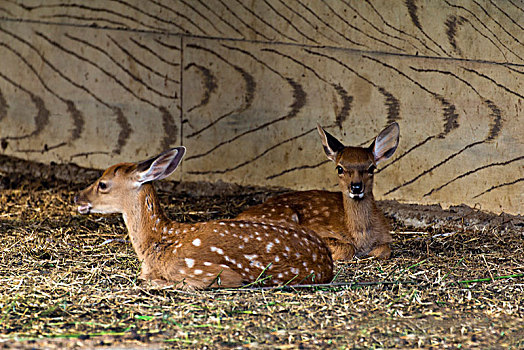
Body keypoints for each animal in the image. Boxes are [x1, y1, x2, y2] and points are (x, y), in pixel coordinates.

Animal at [73, 146, 332, 288]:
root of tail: (327, 262)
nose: (77, 197)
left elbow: (149, 281)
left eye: (103, 184)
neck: (159, 241)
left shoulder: (204, 271)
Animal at [235, 124, 400, 262]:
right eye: (339, 168)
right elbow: (347, 248)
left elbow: (385, 250)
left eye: (371, 168)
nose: (356, 187)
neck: (361, 236)